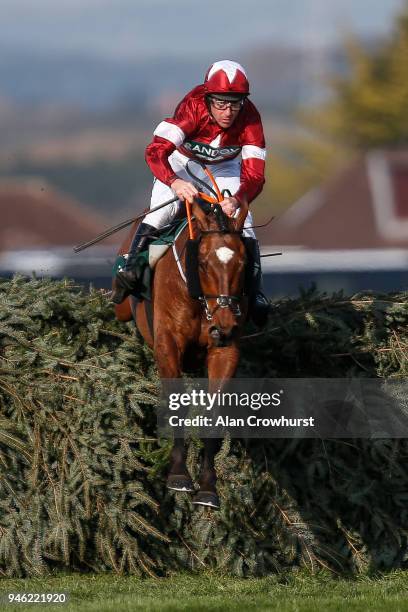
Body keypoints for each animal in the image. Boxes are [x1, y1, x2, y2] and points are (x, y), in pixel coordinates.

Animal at [113, 200, 250, 506]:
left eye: (243, 263)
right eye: (202, 263)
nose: (224, 326)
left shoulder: (226, 350)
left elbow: (214, 412)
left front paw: (208, 486)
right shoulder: (168, 343)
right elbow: (177, 403)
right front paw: (178, 474)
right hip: (122, 307)